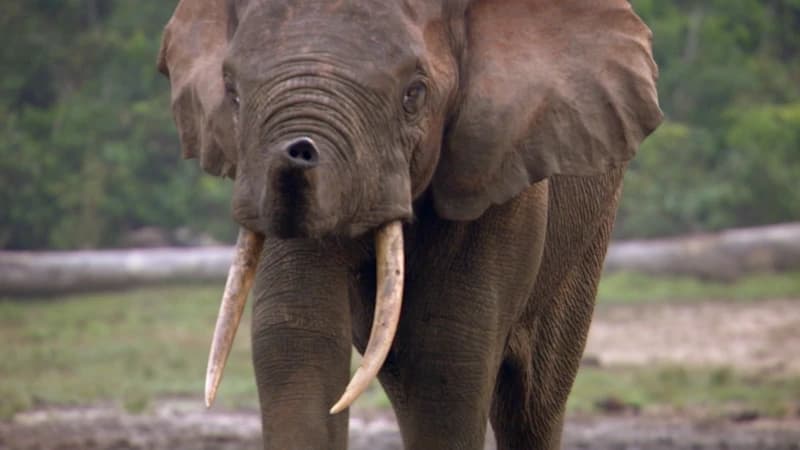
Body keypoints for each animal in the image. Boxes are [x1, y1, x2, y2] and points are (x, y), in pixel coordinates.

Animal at [157, 0, 662, 448]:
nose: (296, 151)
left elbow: (446, 361)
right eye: (233, 93)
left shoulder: (496, 167)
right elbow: (297, 339)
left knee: (532, 401)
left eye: (414, 95)